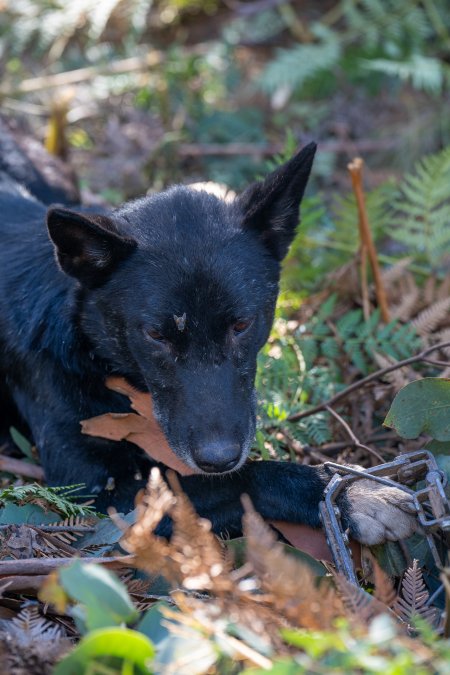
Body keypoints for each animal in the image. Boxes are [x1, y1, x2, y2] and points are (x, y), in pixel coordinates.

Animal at [0, 129, 418, 548]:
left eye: (242, 325)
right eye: (155, 335)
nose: (218, 458)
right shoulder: (95, 489)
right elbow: (242, 479)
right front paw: (348, 491)